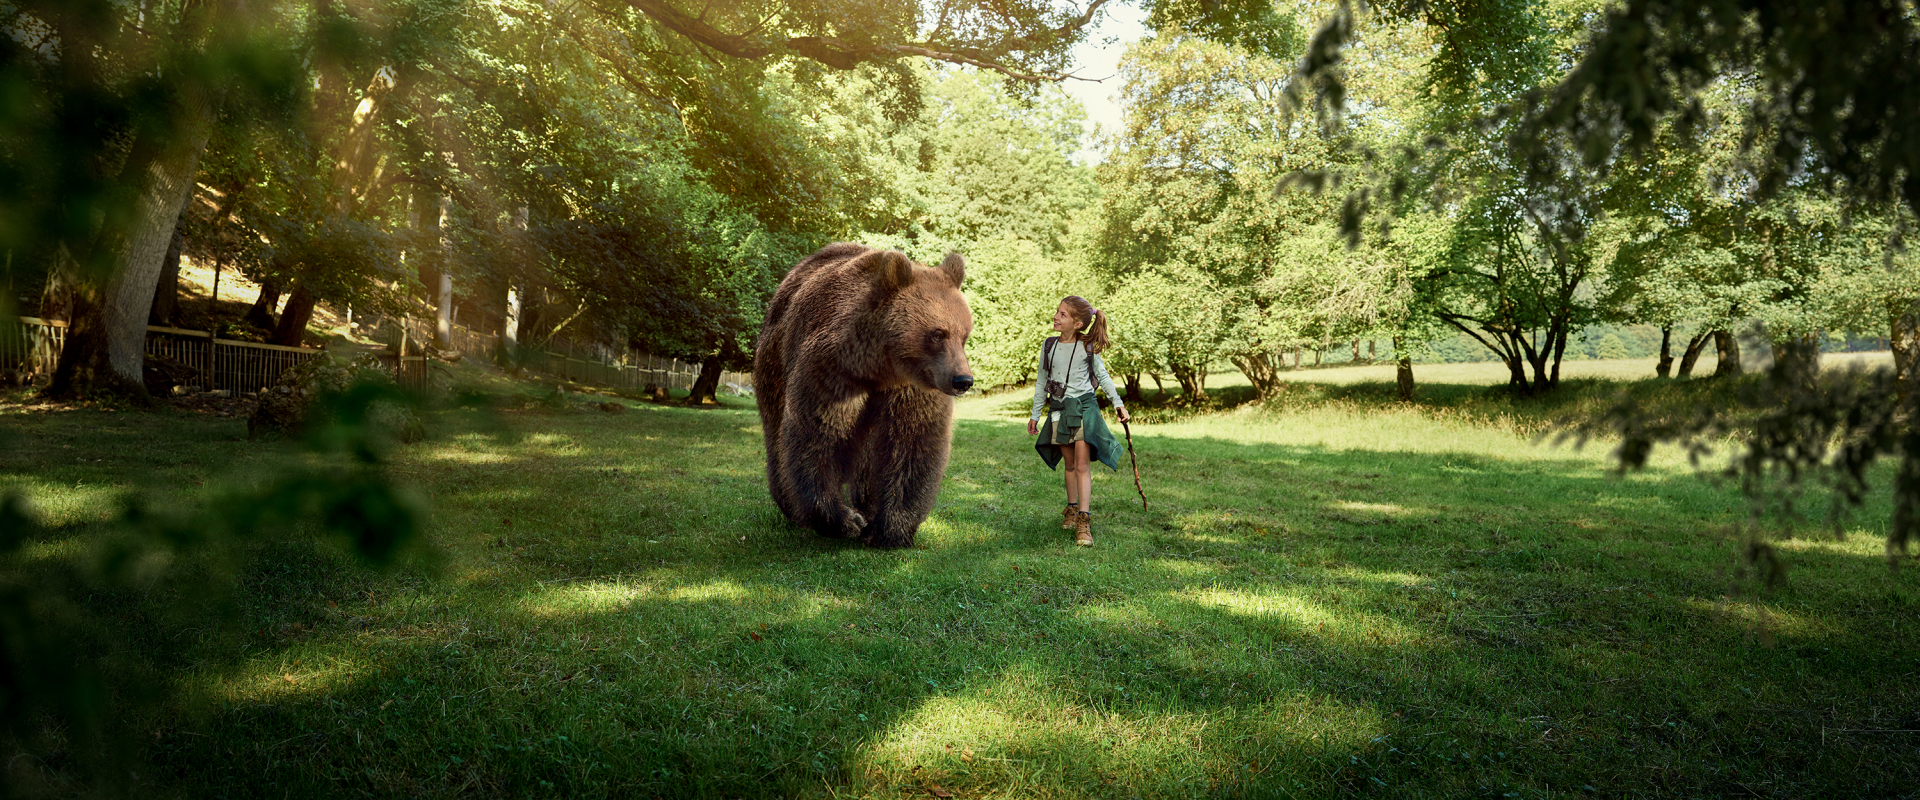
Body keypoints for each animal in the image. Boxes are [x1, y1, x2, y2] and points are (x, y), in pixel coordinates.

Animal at [756, 239, 975, 544]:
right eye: (937, 334)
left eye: (964, 335)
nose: (962, 380)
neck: (878, 367)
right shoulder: (833, 373)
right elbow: (818, 437)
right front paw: (844, 520)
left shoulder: (912, 387)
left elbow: (911, 443)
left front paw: (890, 528)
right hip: (774, 362)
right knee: (776, 432)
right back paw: (791, 506)